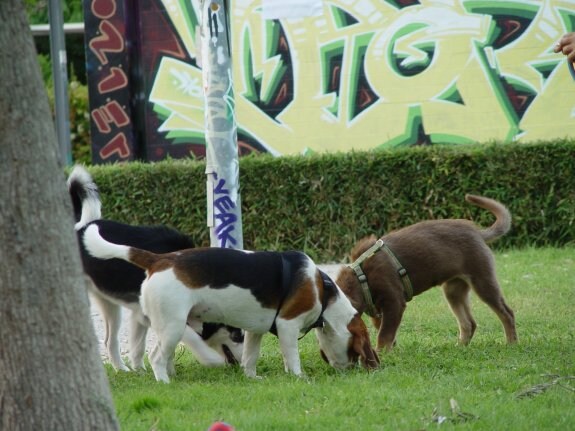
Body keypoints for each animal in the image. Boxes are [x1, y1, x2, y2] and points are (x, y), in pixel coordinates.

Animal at [67, 165, 243, 372]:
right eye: (237, 335)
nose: (243, 364)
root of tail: (79, 228)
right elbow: (190, 338)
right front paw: (208, 359)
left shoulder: (140, 313)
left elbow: (140, 347)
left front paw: (147, 372)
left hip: (110, 304)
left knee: (110, 341)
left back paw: (122, 369)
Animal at [81, 224, 378, 384]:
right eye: (354, 352)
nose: (351, 370)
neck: (324, 292)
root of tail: (160, 260)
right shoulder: (287, 325)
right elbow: (291, 356)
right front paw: (298, 376)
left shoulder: (257, 331)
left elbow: (250, 356)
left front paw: (251, 376)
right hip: (172, 327)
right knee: (155, 357)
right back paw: (163, 381)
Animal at [336, 196, 520, 354]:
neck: (362, 278)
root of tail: (478, 233)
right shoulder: (380, 312)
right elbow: (388, 335)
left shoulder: (394, 302)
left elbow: (384, 335)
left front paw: (382, 354)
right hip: (454, 289)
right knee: (469, 323)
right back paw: (460, 347)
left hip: (482, 280)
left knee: (507, 313)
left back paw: (511, 343)